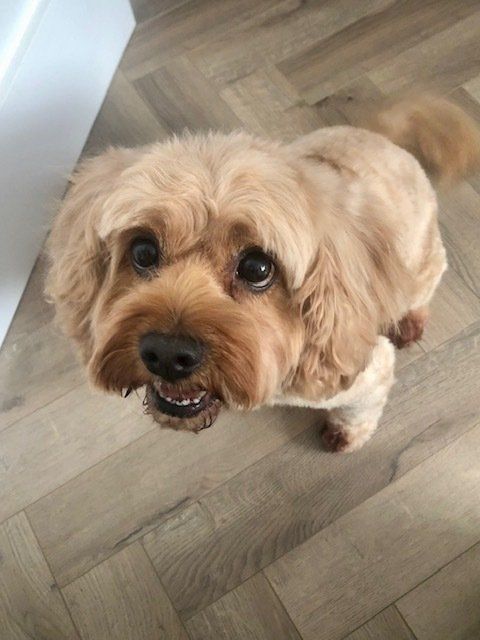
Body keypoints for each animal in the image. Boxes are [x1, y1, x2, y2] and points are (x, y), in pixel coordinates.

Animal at [46, 96, 480, 456]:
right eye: (143, 251)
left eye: (257, 268)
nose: (167, 355)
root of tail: (381, 137)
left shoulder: (366, 373)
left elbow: (360, 410)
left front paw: (347, 434)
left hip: (424, 260)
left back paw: (410, 320)